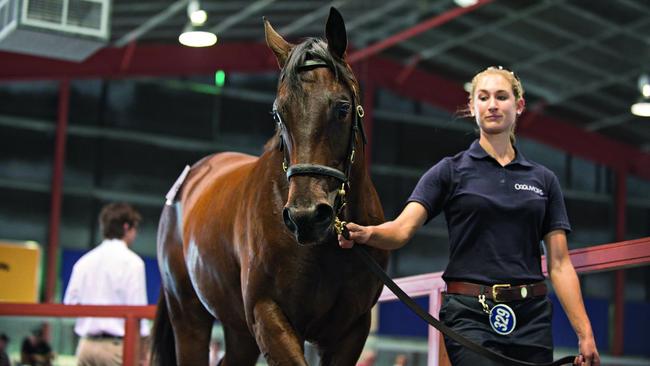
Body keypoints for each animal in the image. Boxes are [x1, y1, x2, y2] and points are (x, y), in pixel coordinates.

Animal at [150, 6, 388, 366]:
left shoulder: (351, 329)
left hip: (239, 332)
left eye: (342, 108)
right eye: (278, 114)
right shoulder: (268, 315)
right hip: (189, 317)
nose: (306, 216)